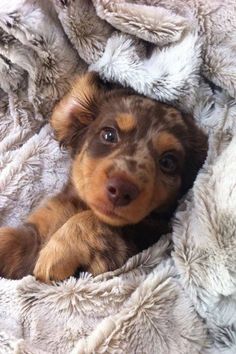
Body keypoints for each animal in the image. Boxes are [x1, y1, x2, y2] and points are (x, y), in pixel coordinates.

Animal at [0, 72, 207, 282]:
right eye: (109, 135)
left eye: (168, 162)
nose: (122, 190)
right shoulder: (38, 228)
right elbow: (8, 239)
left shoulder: (136, 247)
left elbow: (94, 220)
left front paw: (57, 252)